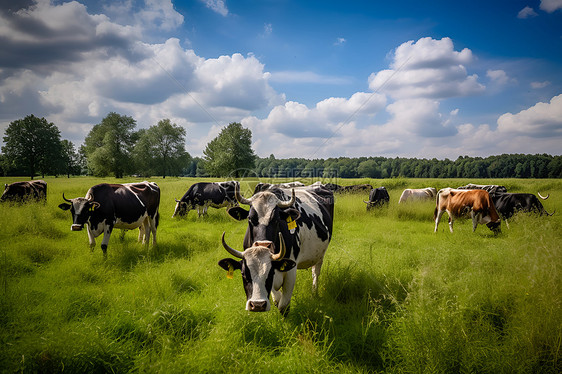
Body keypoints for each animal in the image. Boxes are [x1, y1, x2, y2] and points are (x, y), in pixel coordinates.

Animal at [218, 183, 332, 312]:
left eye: (277, 219)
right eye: (250, 219)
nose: (263, 245)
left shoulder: (290, 271)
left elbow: (283, 305)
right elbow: (277, 299)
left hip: (320, 255)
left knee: (315, 273)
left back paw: (314, 293)